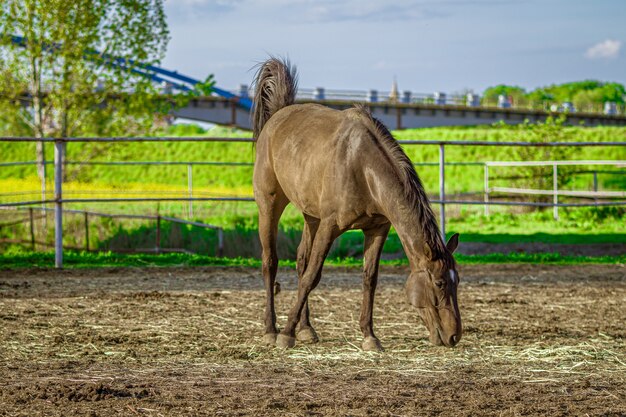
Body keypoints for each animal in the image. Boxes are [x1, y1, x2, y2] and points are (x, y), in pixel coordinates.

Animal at [251, 57, 460, 352]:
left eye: (458, 280)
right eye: (440, 282)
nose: (455, 335)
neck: (362, 167)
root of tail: (278, 114)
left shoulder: (377, 229)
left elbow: (369, 279)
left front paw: (369, 336)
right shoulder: (330, 226)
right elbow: (313, 276)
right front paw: (286, 333)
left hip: (311, 216)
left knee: (301, 262)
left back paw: (307, 329)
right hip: (270, 205)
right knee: (271, 262)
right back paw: (271, 329)